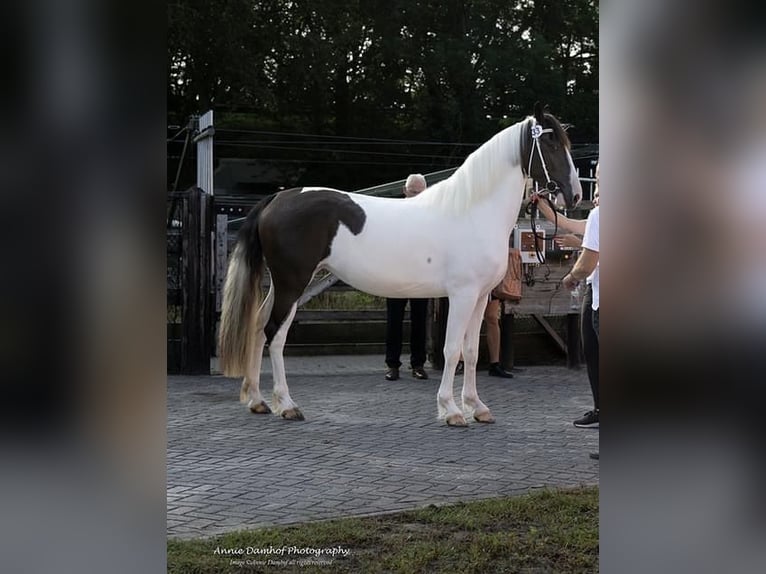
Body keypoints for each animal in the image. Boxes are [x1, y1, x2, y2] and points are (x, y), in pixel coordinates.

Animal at [218, 104, 584, 428]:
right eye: (551, 143)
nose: (575, 195)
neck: (472, 211)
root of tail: (277, 199)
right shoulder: (462, 295)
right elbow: (452, 350)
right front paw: (451, 410)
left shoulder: (480, 297)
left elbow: (470, 351)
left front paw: (477, 407)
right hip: (293, 283)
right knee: (274, 334)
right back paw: (287, 405)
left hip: (285, 284)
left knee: (257, 326)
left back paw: (258, 400)